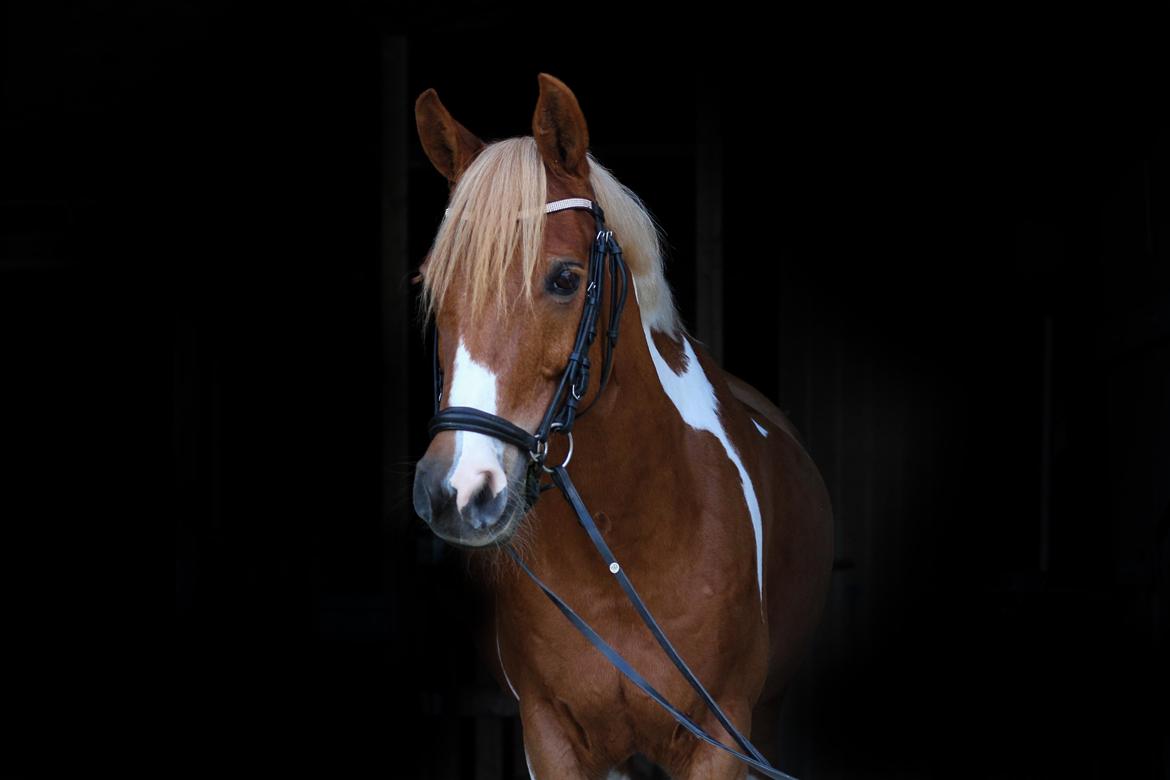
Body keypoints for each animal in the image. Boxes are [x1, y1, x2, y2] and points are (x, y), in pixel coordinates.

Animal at [411, 73, 833, 779]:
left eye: (564, 278)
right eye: (432, 287)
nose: (457, 491)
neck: (623, 540)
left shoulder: (720, 741)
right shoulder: (550, 734)